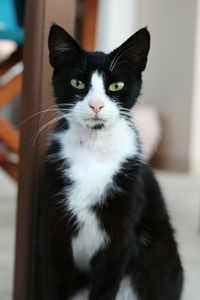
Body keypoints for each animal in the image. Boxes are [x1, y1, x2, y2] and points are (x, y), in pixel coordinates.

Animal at [38, 24, 184, 300]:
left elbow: (106, 285)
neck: (94, 149)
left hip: (160, 258)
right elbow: (52, 281)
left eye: (116, 85)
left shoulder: (120, 236)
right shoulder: (55, 230)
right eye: (77, 82)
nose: (96, 105)